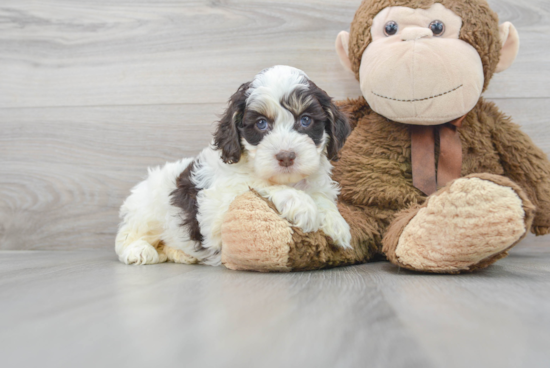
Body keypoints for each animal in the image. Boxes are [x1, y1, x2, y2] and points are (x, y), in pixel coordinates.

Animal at [116, 66, 354, 266]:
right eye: (261, 124)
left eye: (305, 120)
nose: (286, 156)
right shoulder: (214, 213)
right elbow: (255, 184)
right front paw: (301, 203)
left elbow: (322, 197)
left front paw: (336, 222)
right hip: (145, 212)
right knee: (126, 237)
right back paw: (139, 250)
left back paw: (180, 254)